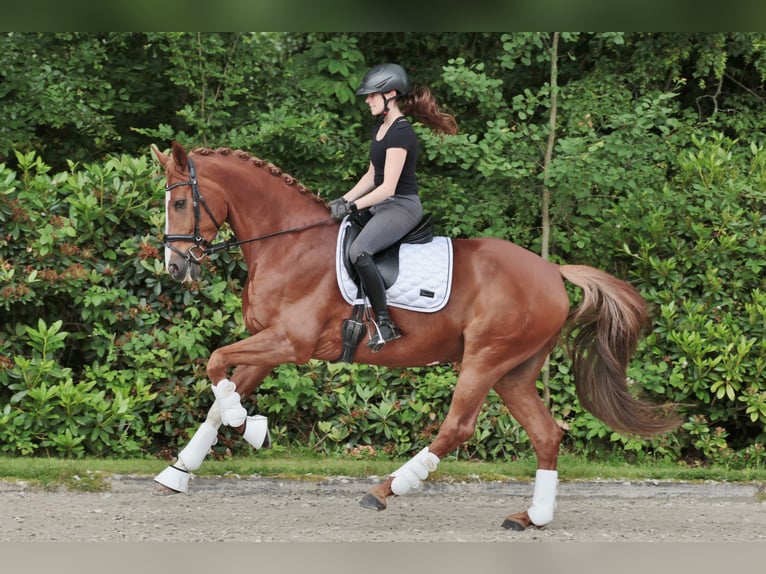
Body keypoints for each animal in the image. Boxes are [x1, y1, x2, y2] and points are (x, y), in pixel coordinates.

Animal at [151, 141, 679, 531]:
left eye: (180, 202)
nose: (176, 268)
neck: (288, 243)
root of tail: (552, 270)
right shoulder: (268, 344)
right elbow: (221, 393)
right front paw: (179, 471)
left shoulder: (289, 343)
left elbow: (215, 363)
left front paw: (252, 428)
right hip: (514, 372)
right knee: (546, 434)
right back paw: (532, 516)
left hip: (485, 358)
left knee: (458, 427)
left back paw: (387, 488)